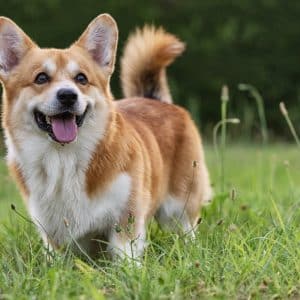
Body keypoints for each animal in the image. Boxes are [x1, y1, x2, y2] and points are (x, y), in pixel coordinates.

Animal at [0, 13, 212, 258]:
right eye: (41, 78)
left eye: (81, 79)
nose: (68, 95)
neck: (64, 158)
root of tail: (155, 99)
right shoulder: (51, 231)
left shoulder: (126, 216)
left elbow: (125, 254)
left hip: (179, 206)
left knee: (187, 229)